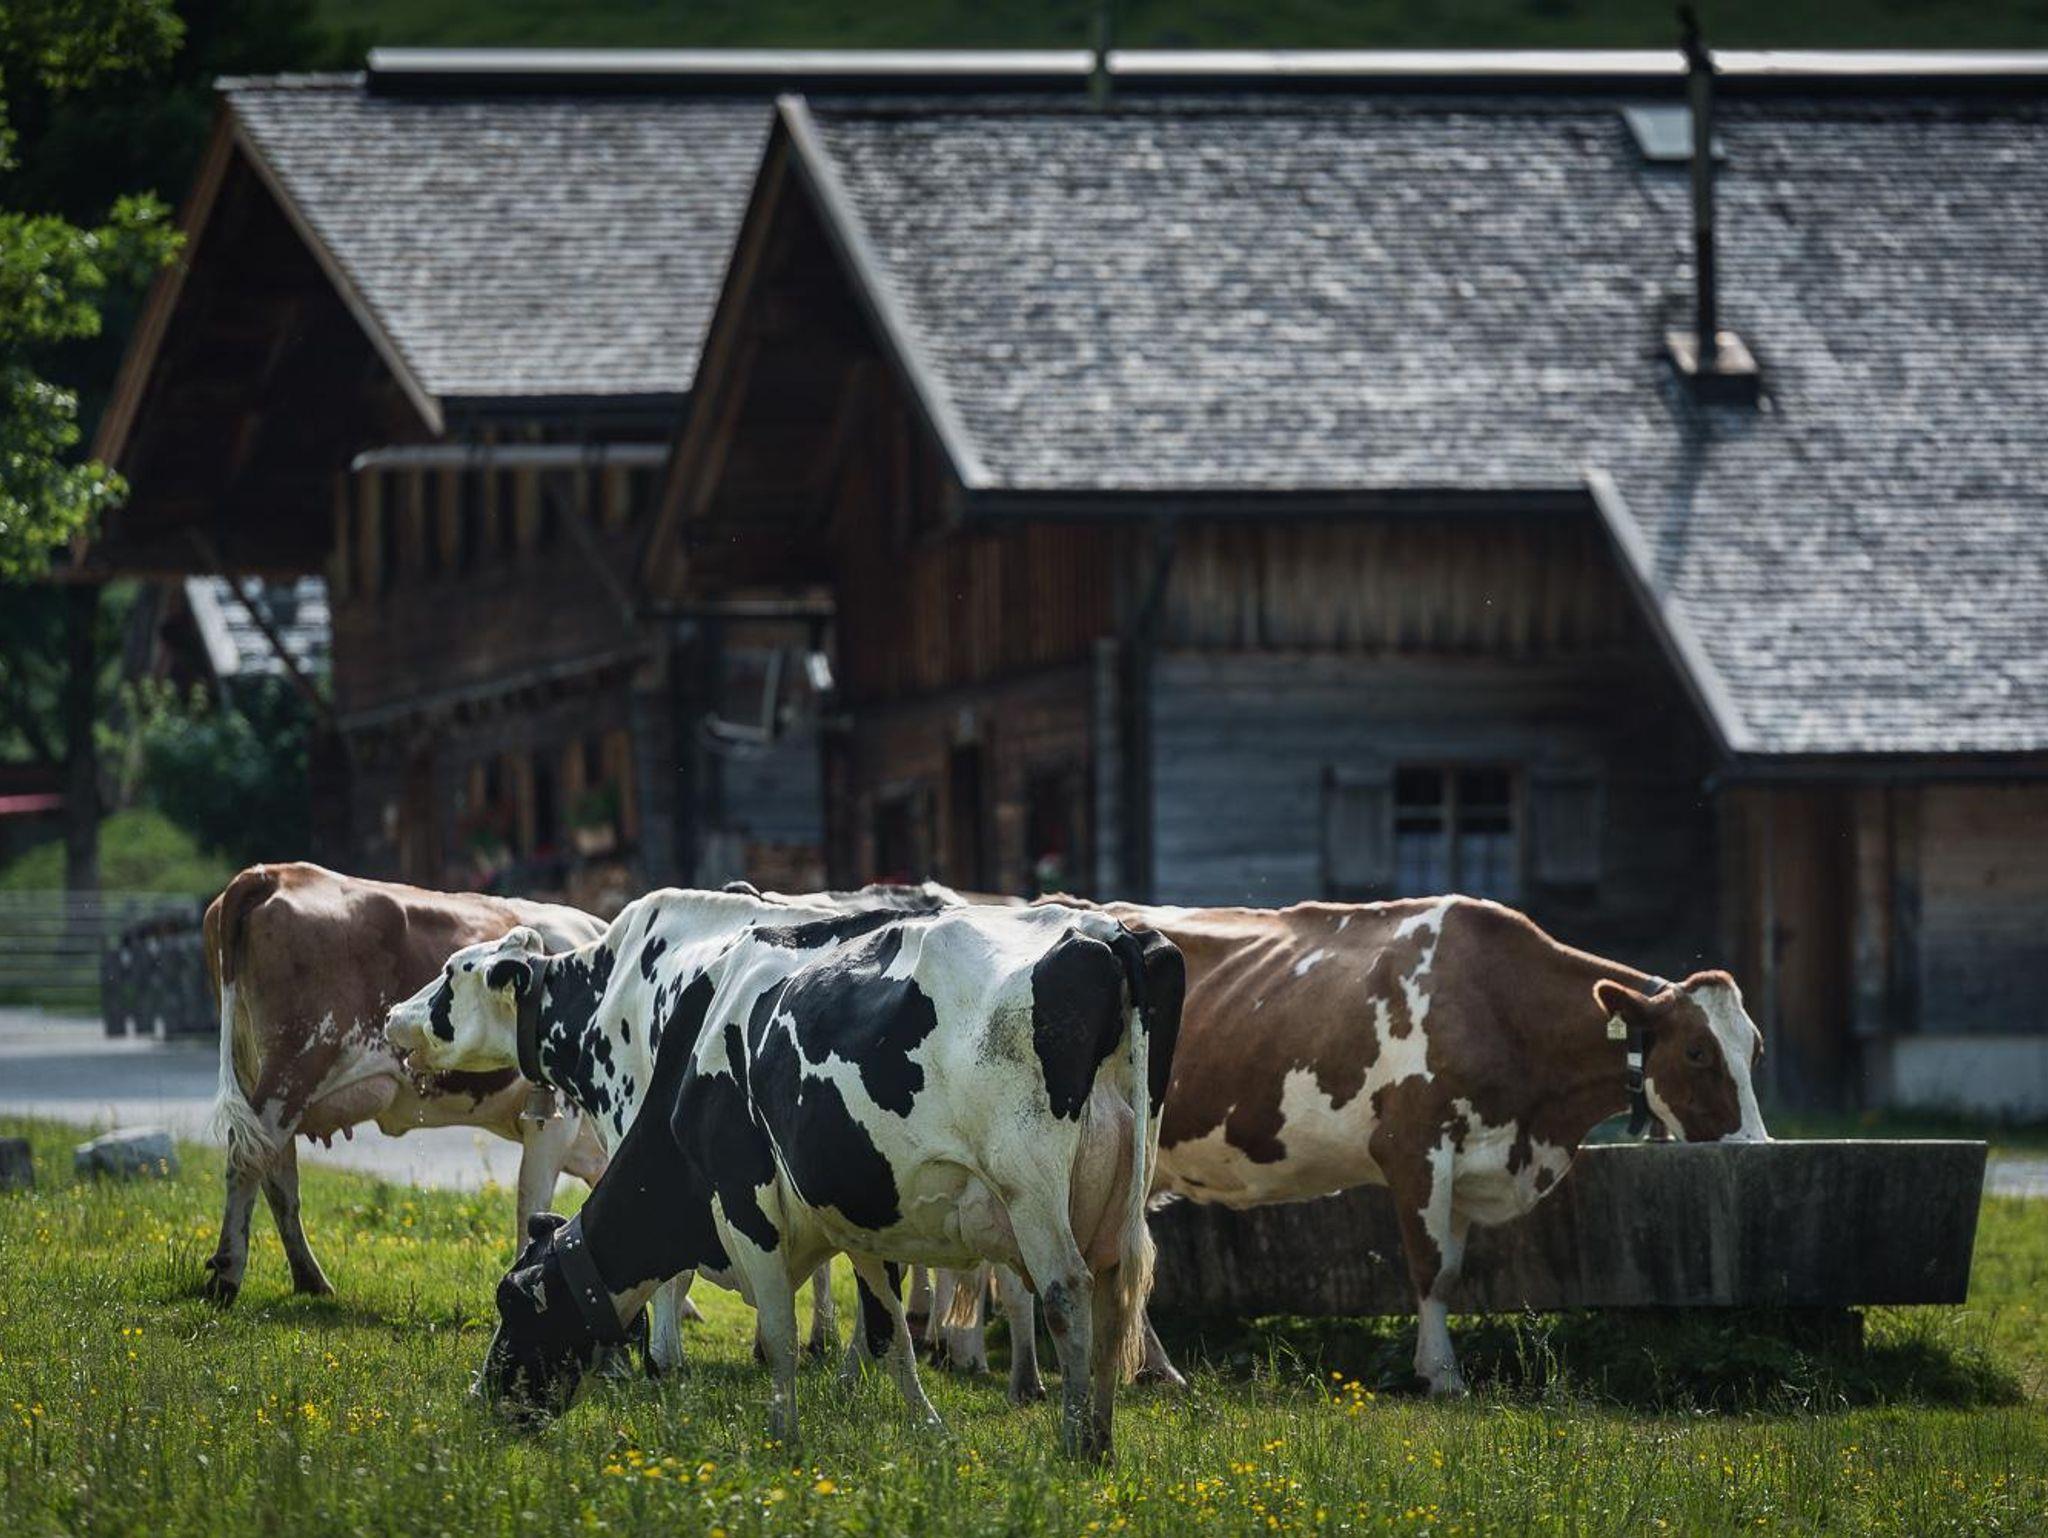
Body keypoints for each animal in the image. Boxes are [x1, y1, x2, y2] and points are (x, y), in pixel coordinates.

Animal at [201, 863, 609, 1307]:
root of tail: (274, 873)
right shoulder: (555, 1120)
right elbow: (531, 1202)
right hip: (293, 1070)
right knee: (247, 1160)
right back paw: (227, 1276)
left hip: (260, 1075)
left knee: (277, 1174)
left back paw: (310, 1279)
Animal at [387, 892, 1182, 1458]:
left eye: (512, 1304)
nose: (481, 1400)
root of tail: (1107, 933)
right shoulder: (857, 1212)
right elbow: (888, 1326)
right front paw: (924, 1426)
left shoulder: (742, 1204)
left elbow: (770, 1321)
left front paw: (772, 1428)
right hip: (1119, 1194)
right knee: (1117, 1295)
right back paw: (1102, 1434)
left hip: (1032, 1192)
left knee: (1068, 1293)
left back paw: (1077, 1443)